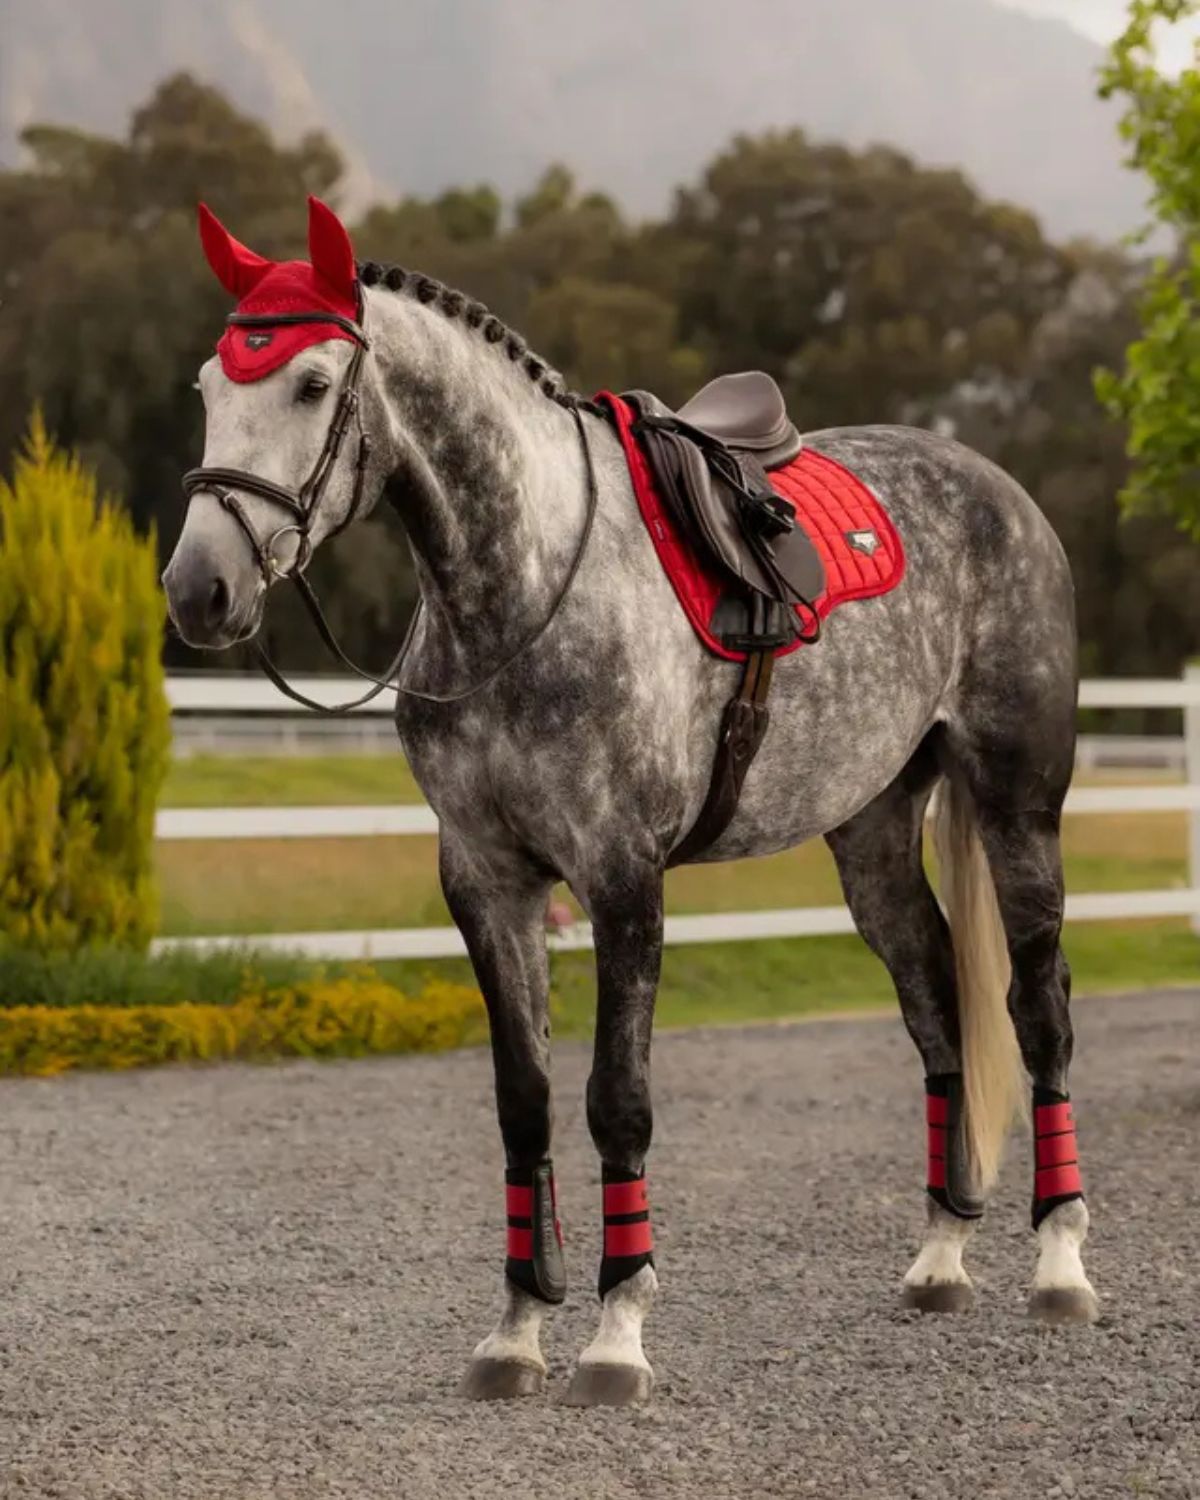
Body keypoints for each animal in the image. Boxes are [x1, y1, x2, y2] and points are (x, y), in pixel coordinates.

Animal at [163, 196, 1098, 1408]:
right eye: (208, 386)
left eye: (314, 383)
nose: (200, 589)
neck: (526, 589)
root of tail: (1002, 491)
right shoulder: (487, 879)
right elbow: (523, 1099)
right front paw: (516, 1330)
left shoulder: (620, 877)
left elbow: (617, 1098)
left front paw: (615, 1334)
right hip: (874, 832)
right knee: (937, 999)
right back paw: (940, 1255)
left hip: (1020, 808)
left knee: (1039, 1009)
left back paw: (1061, 1263)